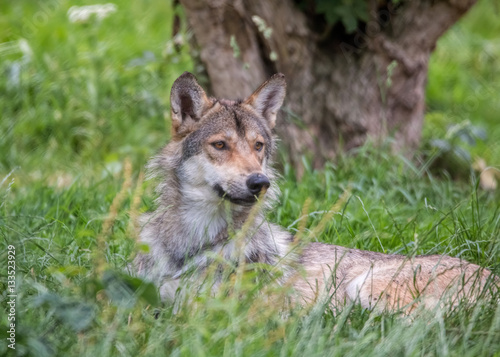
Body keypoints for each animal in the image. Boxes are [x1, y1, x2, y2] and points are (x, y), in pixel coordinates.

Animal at [134, 71, 496, 310]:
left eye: (258, 146)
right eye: (220, 145)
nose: (259, 182)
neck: (193, 244)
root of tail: (492, 278)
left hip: (365, 289)